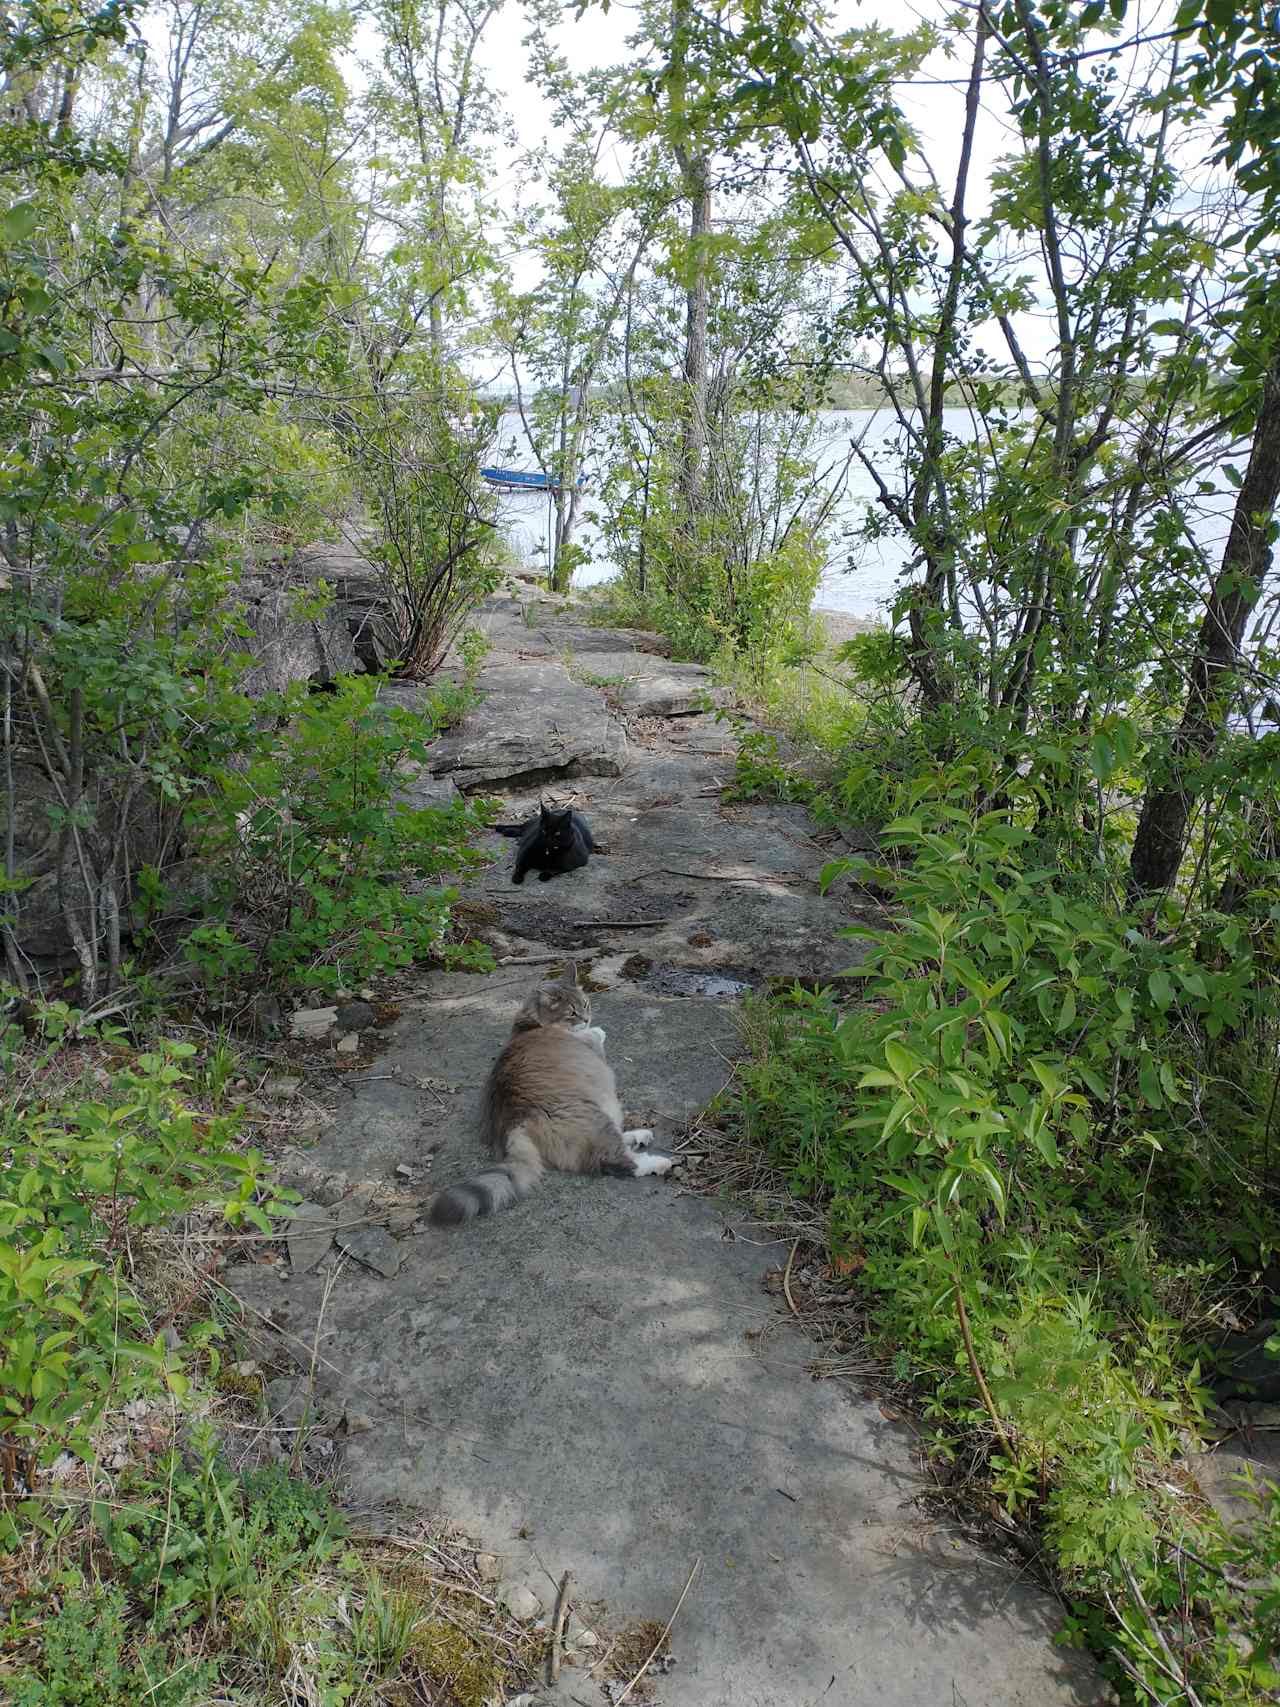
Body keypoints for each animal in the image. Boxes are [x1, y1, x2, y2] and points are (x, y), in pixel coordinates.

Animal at [428, 962, 675, 1229]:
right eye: (572, 1013)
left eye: (585, 1004)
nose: (587, 1019)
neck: (531, 1024)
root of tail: (515, 1121)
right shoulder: (589, 1045)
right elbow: (594, 1036)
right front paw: (597, 1031)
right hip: (595, 1117)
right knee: (618, 1160)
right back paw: (657, 1162)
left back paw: (639, 1136)